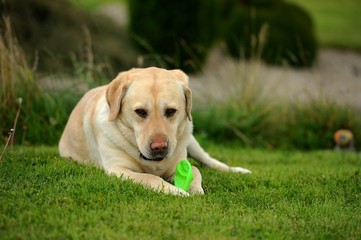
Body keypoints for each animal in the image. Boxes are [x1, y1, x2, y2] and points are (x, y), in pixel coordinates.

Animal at [59, 66, 250, 196]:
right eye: (140, 112)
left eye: (171, 111)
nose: (159, 147)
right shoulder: (118, 170)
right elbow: (151, 178)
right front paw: (178, 191)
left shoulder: (179, 162)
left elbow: (195, 170)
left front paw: (195, 188)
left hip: (191, 141)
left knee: (209, 160)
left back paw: (238, 170)